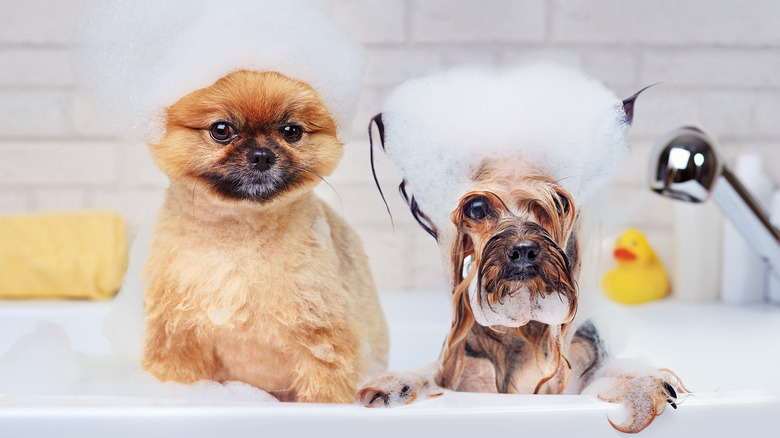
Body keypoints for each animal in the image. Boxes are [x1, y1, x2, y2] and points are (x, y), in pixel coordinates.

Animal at [141, 70, 390, 402]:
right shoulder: (177, 336)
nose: (261, 156)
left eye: (291, 131)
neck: (241, 239)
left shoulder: (324, 341)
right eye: (221, 130)